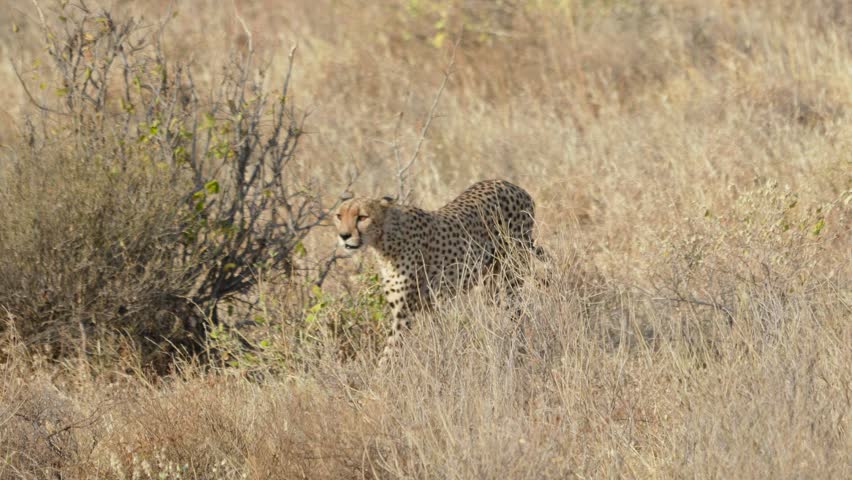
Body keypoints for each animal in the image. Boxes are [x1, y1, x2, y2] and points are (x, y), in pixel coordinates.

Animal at [333, 179, 545, 365]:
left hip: (511, 273)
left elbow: (389, 354)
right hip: (491, 285)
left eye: (362, 217)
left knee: (519, 311)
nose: (343, 236)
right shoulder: (429, 306)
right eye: (339, 216)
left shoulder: (404, 314)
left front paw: (380, 379)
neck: (385, 239)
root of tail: (511, 185)